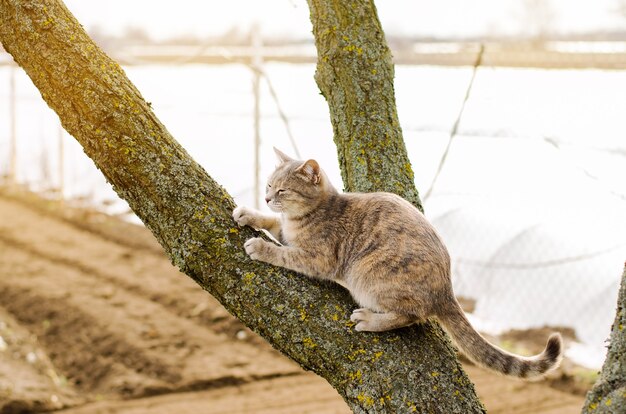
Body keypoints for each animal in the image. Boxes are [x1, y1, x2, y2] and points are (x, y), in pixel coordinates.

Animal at [232, 148, 564, 378]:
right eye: (268, 185)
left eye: (282, 190)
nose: (266, 198)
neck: (309, 215)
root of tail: (447, 288)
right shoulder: (288, 232)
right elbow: (275, 225)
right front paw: (249, 214)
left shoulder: (318, 258)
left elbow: (284, 253)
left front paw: (260, 246)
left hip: (366, 275)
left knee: (411, 315)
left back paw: (370, 320)